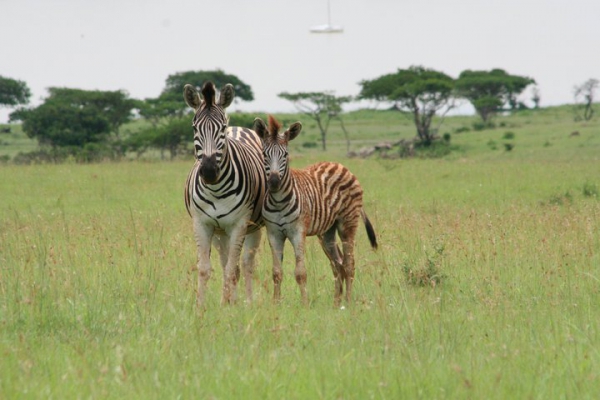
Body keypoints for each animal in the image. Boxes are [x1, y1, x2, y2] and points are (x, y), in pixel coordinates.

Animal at [184, 82, 266, 306]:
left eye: (221, 128)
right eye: (194, 128)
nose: (209, 171)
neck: (216, 190)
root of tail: (237, 127)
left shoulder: (239, 224)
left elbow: (232, 269)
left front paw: (226, 307)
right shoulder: (202, 223)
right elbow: (205, 268)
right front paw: (201, 307)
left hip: (253, 227)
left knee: (245, 265)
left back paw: (247, 302)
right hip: (220, 232)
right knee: (227, 263)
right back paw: (231, 300)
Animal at [254, 115, 378, 306]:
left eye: (286, 155)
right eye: (264, 155)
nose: (274, 182)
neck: (278, 201)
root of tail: (338, 164)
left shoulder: (298, 232)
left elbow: (300, 273)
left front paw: (305, 304)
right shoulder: (273, 233)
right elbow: (276, 272)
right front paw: (276, 304)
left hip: (347, 224)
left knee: (349, 264)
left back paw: (348, 302)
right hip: (327, 232)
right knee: (338, 263)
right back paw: (336, 304)